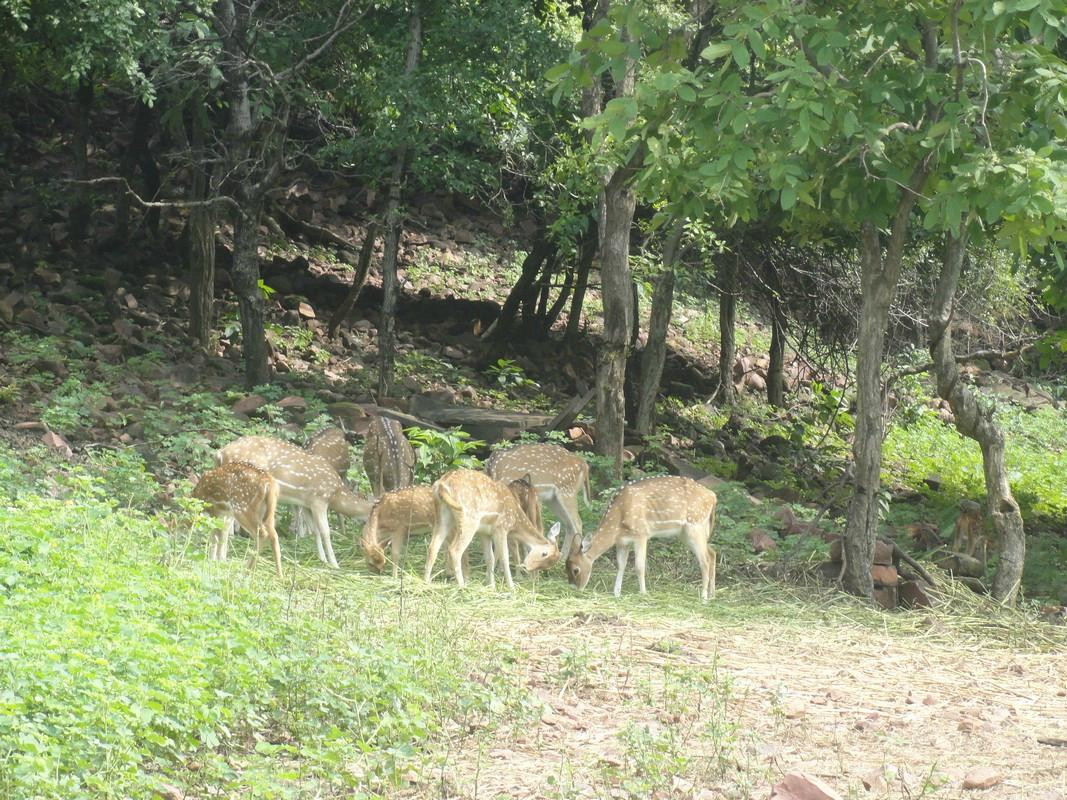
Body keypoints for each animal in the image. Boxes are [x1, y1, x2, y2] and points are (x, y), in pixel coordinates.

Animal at [214, 439, 373, 571]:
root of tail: (220, 454)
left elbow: (315, 531)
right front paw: (334, 564)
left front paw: (322, 559)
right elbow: (325, 532)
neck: (336, 493)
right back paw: (223, 559)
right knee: (227, 523)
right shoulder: (319, 499)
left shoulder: (306, 504)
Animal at [422, 469, 563, 588]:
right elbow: (505, 558)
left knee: (433, 547)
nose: (525, 568)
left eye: (548, 564)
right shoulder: (501, 528)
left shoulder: (485, 533)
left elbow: (490, 558)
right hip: (468, 519)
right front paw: (511, 587)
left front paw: (491, 585)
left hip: (442, 516)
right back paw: (462, 586)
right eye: (544, 553)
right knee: (454, 550)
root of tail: (441, 485)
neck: (515, 519)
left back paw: (426, 582)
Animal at [567, 475, 717, 601]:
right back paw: (712, 594)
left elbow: (639, 566)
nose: (575, 588)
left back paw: (703, 597)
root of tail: (713, 496)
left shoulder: (641, 533)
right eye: (565, 567)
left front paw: (643, 593)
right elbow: (621, 565)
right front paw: (616, 593)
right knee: (712, 553)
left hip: (695, 526)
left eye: (576, 570)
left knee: (705, 560)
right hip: (687, 533)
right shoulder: (622, 541)